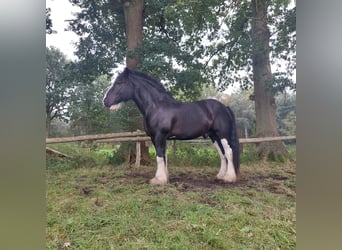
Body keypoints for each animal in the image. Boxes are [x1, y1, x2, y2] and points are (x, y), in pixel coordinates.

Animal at [103, 67, 239, 185]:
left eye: (119, 82)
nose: (105, 101)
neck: (156, 106)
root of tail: (224, 107)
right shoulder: (158, 138)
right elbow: (163, 157)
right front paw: (165, 178)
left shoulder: (159, 136)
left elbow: (159, 157)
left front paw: (158, 180)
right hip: (214, 136)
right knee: (222, 154)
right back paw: (220, 176)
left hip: (223, 135)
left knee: (229, 152)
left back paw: (229, 178)